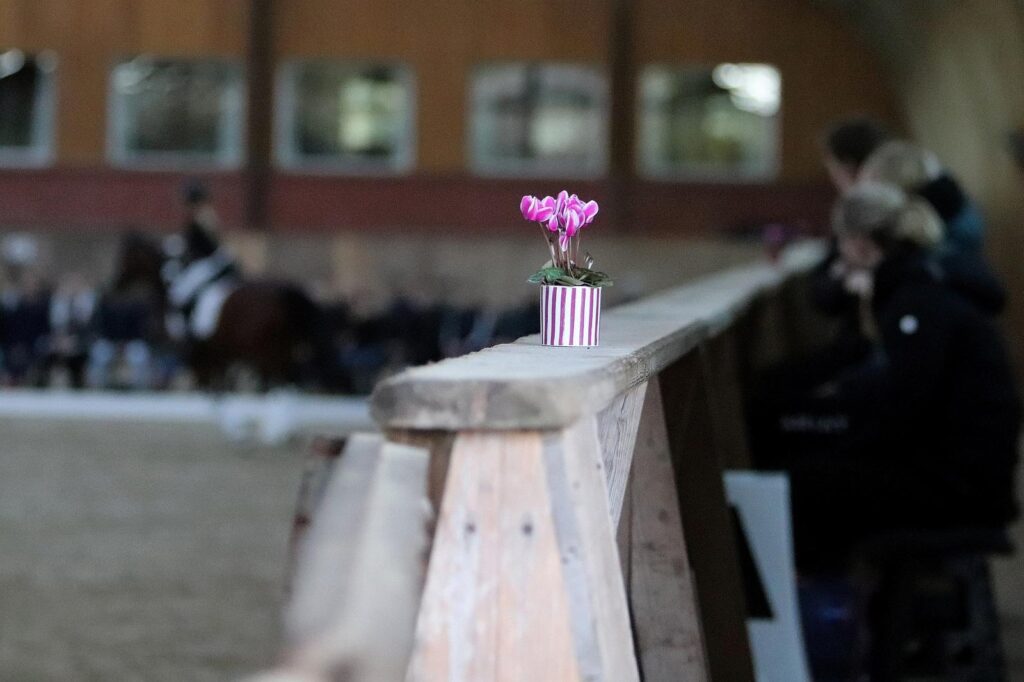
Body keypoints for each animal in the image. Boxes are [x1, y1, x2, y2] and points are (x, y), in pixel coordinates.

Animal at [111, 231, 344, 391]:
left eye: (126, 257)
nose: (115, 285)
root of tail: (285, 292)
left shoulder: (201, 360)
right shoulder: (220, 360)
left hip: (266, 354)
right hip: (280, 353)